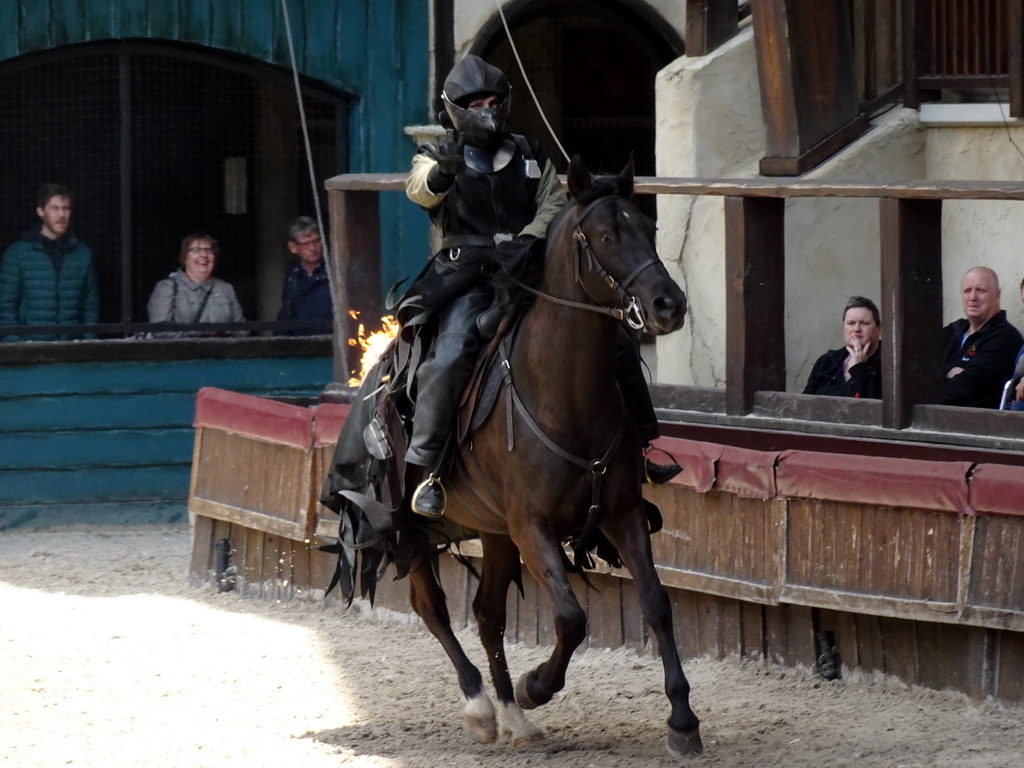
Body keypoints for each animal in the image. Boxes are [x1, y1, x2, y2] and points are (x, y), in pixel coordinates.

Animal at [399, 154, 704, 757]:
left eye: (648, 226)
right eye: (606, 235)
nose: (669, 304)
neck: (564, 393)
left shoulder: (622, 514)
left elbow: (657, 603)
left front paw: (682, 719)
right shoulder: (531, 527)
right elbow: (570, 617)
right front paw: (537, 683)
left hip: (492, 532)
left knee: (487, 614)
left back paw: (512, 716)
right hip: (411, 526)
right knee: (434, 608)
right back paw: (481, 705)